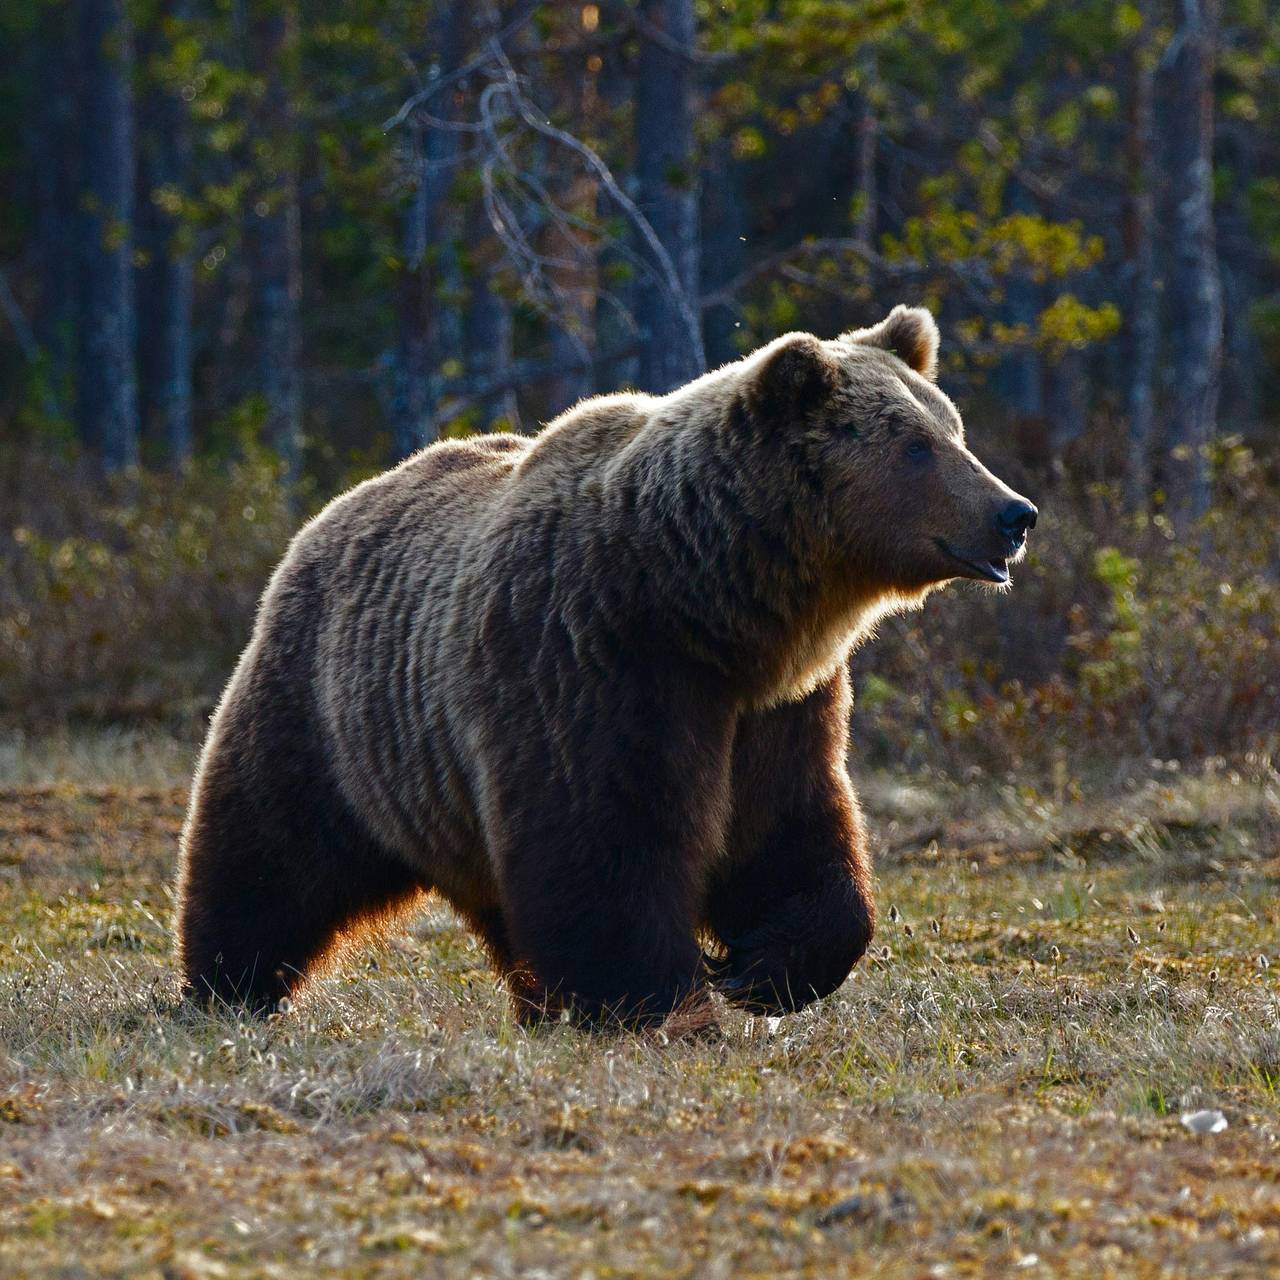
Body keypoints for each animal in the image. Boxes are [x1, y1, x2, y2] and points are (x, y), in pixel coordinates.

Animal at [177, 309, 1039, 1029]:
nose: (1015, 512)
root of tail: (334, 509)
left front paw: (763, 967)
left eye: (953, 428)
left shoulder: (778, 707)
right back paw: (227, 987)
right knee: (269, 851)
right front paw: (662, 999)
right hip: (331, 713)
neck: (706, 603)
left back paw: (535, 1003)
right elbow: (605, 842)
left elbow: (790, 830)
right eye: (916, 445)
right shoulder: (592, 662)